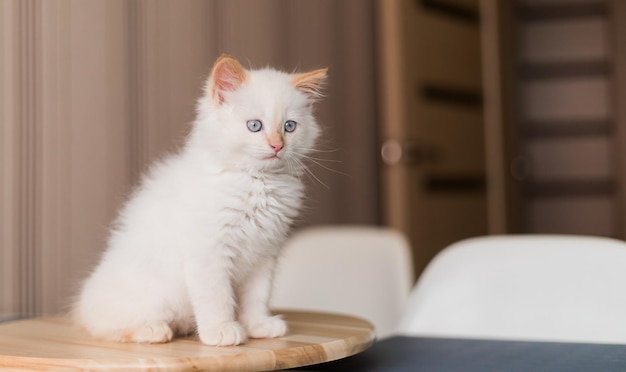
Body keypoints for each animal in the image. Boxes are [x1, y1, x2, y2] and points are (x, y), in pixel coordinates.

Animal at [72, 54, 326, 346]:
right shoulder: (209, 252)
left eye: (289, 127)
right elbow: (217, 298)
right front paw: (222, 331)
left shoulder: (264, 255)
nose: (277, 146)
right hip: (142, 298)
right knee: (106, 326)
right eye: (254, 126)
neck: (257, 182)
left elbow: (257, 297)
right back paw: (154, 330)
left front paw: (259, 325)